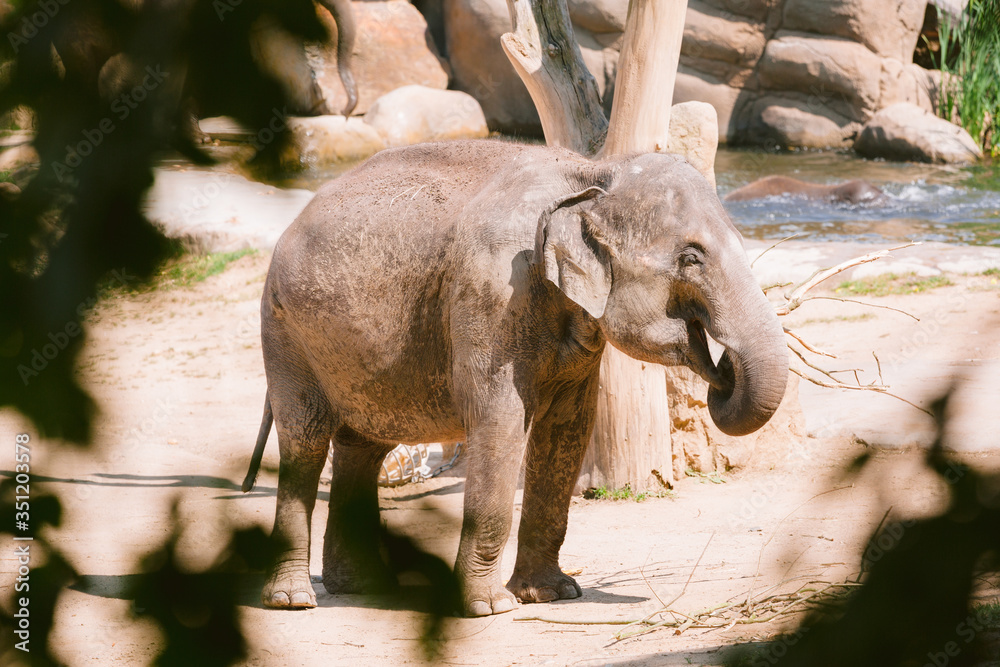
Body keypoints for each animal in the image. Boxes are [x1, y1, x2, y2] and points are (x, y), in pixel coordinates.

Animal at [241, 139, 789, 617]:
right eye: (691, 257)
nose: (723, 369)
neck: (593, 172)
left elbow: (567, 429)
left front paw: (551, 595)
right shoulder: (494, 297)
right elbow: (500, 421)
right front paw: (490, 608)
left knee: (363, 446)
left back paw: (366, 587)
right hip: (286, 332)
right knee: (306, 440)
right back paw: (293, 601)